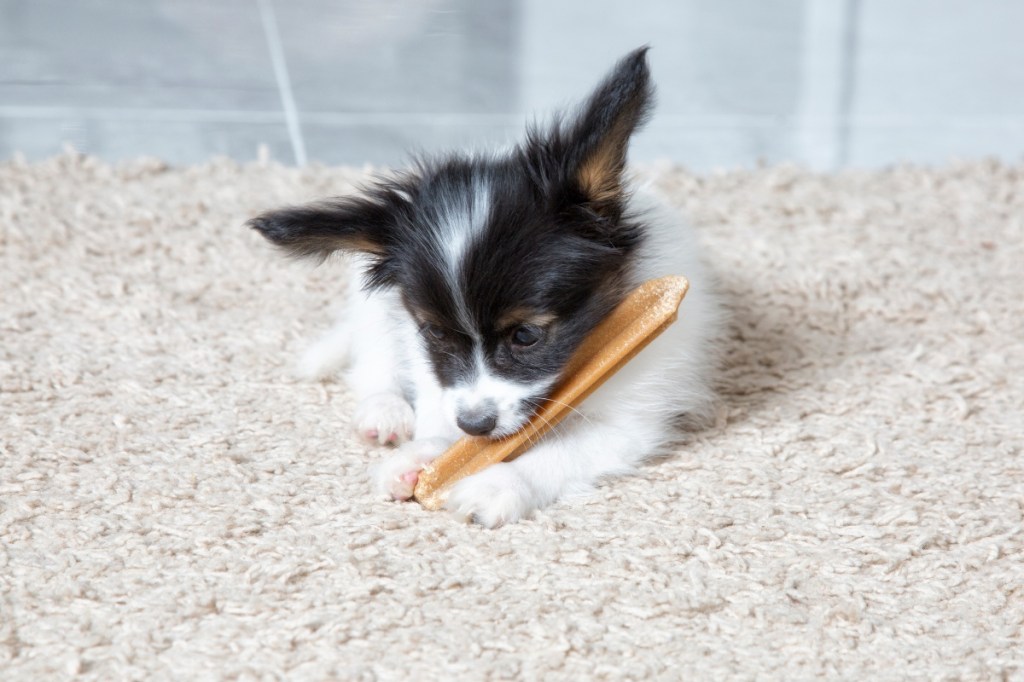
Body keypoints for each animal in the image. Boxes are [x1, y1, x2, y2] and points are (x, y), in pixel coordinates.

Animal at [251, 47, 724, 524]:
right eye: (435, 333)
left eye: (526, 336)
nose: (475, 424)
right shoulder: (428, 358)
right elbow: (439, 406)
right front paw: (424, 455)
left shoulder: (632, 418)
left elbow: (561, 454)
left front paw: (496, 484)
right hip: (374, 306)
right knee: (373, 358)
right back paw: (384, 412)